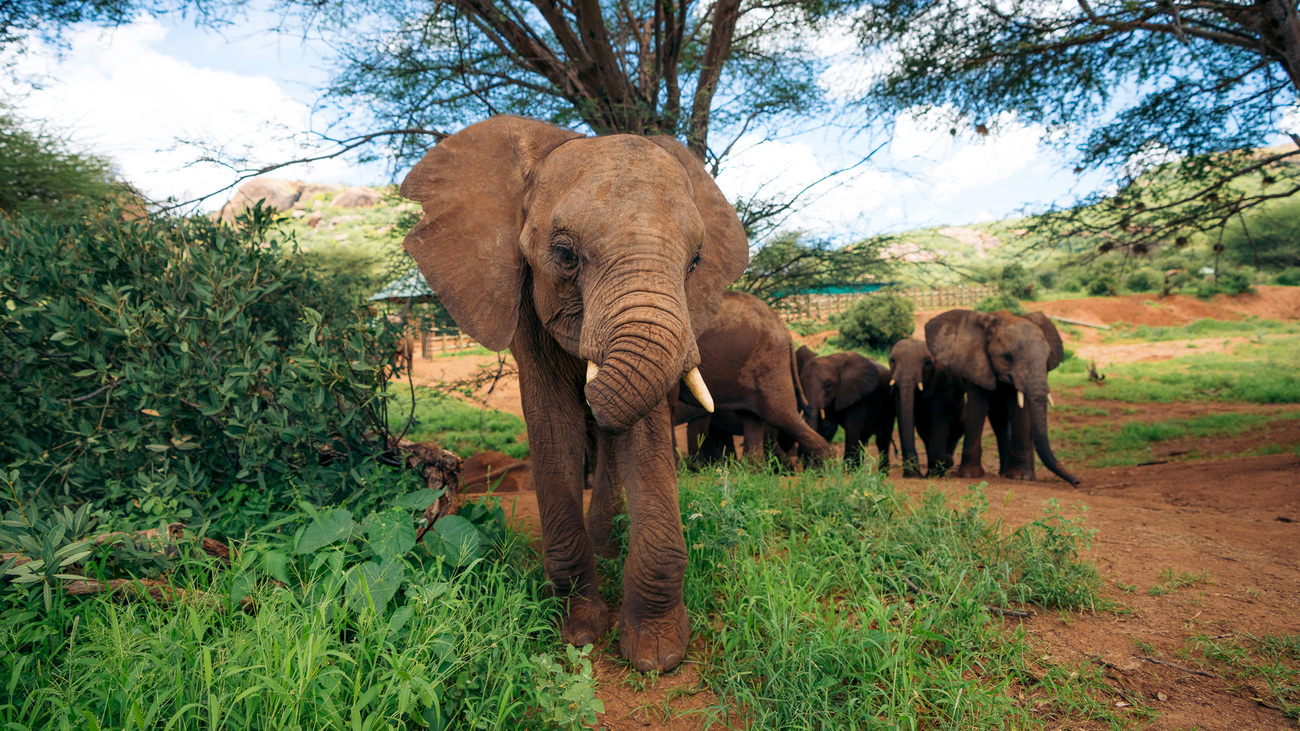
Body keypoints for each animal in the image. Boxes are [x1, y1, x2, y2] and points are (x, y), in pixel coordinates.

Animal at [399, 115, 749, 672]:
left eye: (695, 261)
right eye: (564, 255)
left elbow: (643, 438)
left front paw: (656, 656)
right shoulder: (521, 301)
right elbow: (552, 423)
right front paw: (580, 633)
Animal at [888, 338, 966, 478]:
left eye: (928, 363)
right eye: (892, 361)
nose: (915, 474)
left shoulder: (946, 387)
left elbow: (940, 419)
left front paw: (945, 463)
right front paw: (913, 474)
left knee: (955, 431)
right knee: (924, 432)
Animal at [924, 309, 1081, 486]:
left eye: (1046, 357)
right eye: (1007, 357)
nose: (1077, 482)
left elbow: (1019, 410)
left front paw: (1020, 477)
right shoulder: (975, 364)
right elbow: (977, 407)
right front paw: (969, 475)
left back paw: (1023, 475)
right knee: (999, 422)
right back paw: (1005, 473)